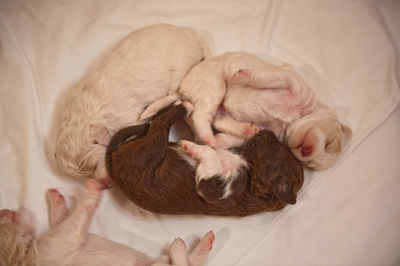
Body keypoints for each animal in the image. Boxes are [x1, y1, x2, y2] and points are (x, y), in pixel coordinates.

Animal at [0, 180, 216, 264]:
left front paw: (56, 199)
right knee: (183, 262)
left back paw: (205, 241)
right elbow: (78, 215)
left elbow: (62, 219)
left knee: (192, 261)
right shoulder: (64, 240)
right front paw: (93, 188)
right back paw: (179, 247)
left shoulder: (61, 235)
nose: (4, 210)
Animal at [56, 22, 212, 186]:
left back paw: (154, 107)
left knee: (176, 92)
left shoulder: (128, 119)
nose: (105, 186)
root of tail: (191, 34)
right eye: (83, 177)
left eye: (94, 166)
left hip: (180, 68)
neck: (85, 114)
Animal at [106, 102, 304, 216]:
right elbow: (218, 144)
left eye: (277, 150)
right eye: (282, 147)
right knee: (154, 121)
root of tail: (114, 160)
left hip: (153, 147)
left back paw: (185, 106)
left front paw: (190, 147)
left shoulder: (213, 188)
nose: (265, 131)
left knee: (159, 123)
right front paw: (246, 130)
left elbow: (210, 155)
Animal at [141, 51, 354, 169]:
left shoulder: (267, 128)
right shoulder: (289, 79)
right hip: (215, 85)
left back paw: (228, 135)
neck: (293, 119)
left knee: (213, 119)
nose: (306, 151)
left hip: (217, 104)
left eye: (308, 164)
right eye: (329, 144)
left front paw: (224, 140)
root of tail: (181, 90)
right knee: (203, 115)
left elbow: (234, 138)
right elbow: (266, 78)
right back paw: (211, 137)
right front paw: (242, 75)